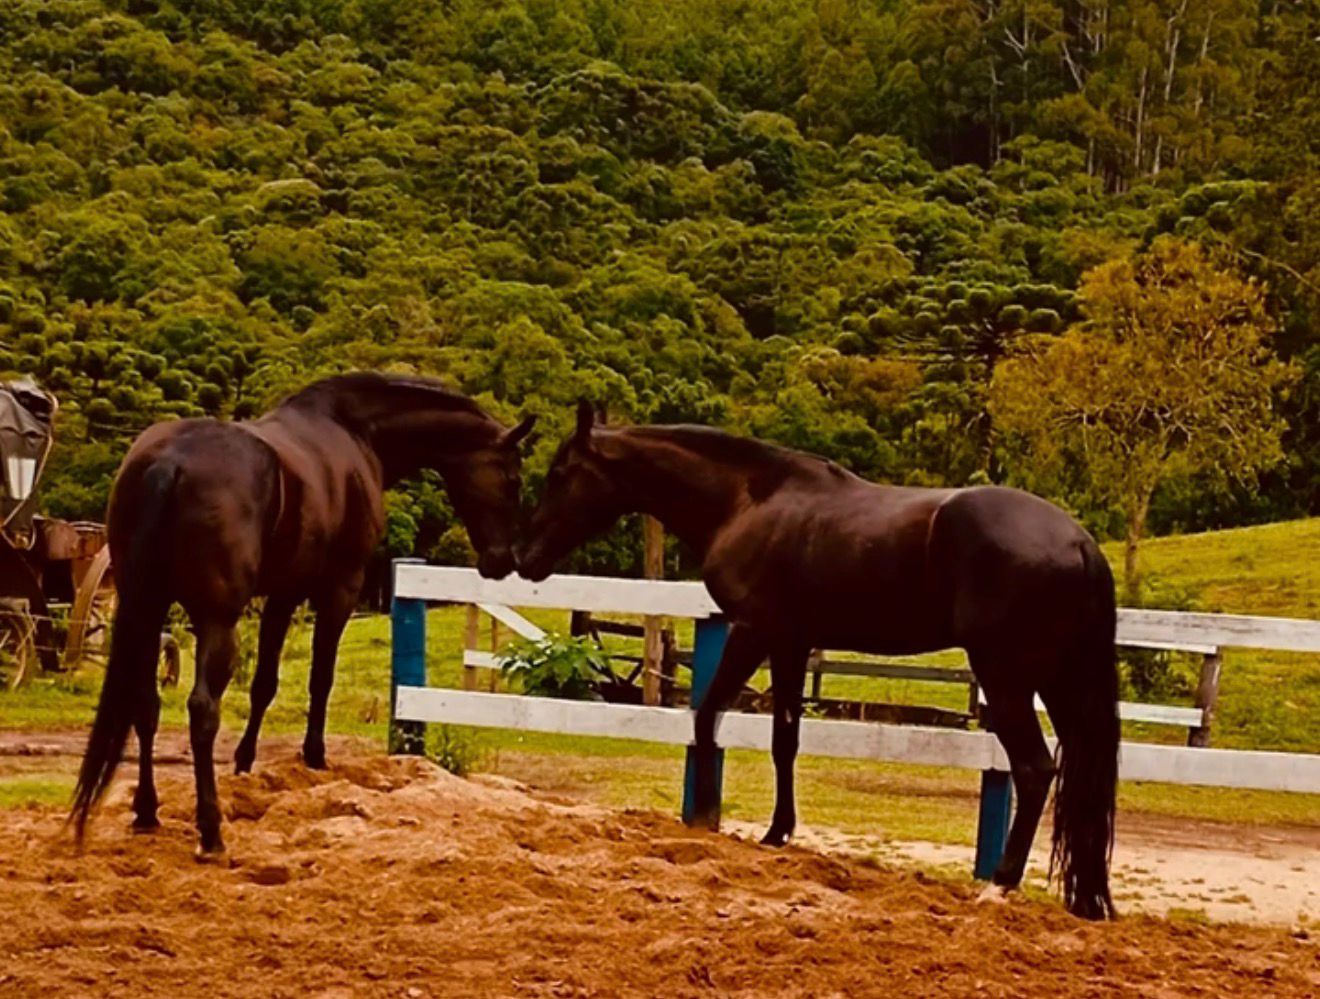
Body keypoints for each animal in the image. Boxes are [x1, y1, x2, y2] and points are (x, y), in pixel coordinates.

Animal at [71, 373, 535, 858]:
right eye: (513, 479)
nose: (504, 560)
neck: (355, 432)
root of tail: (170, 463)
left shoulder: (283, 594)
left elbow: (264, 685)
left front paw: (245, 763)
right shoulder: (338, 590)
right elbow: (320, 679)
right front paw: (314, 756)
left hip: (147, 607)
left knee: (146, 704)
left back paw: (147, 811)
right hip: (216, 620)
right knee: (202, 710)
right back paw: (211, 830)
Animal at [515, 401, 1119, 920]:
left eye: (559, 473)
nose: (527, 559)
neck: (748, 499)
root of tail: (1079, 543)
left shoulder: (754, 631)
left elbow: (707, 716)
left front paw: (708, 818)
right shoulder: (793, 643)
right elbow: (785, 738)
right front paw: (777, 833)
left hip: (1007, 676)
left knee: (1035, 769)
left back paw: (999, 884)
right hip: (1059, 682)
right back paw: (1085, 900)